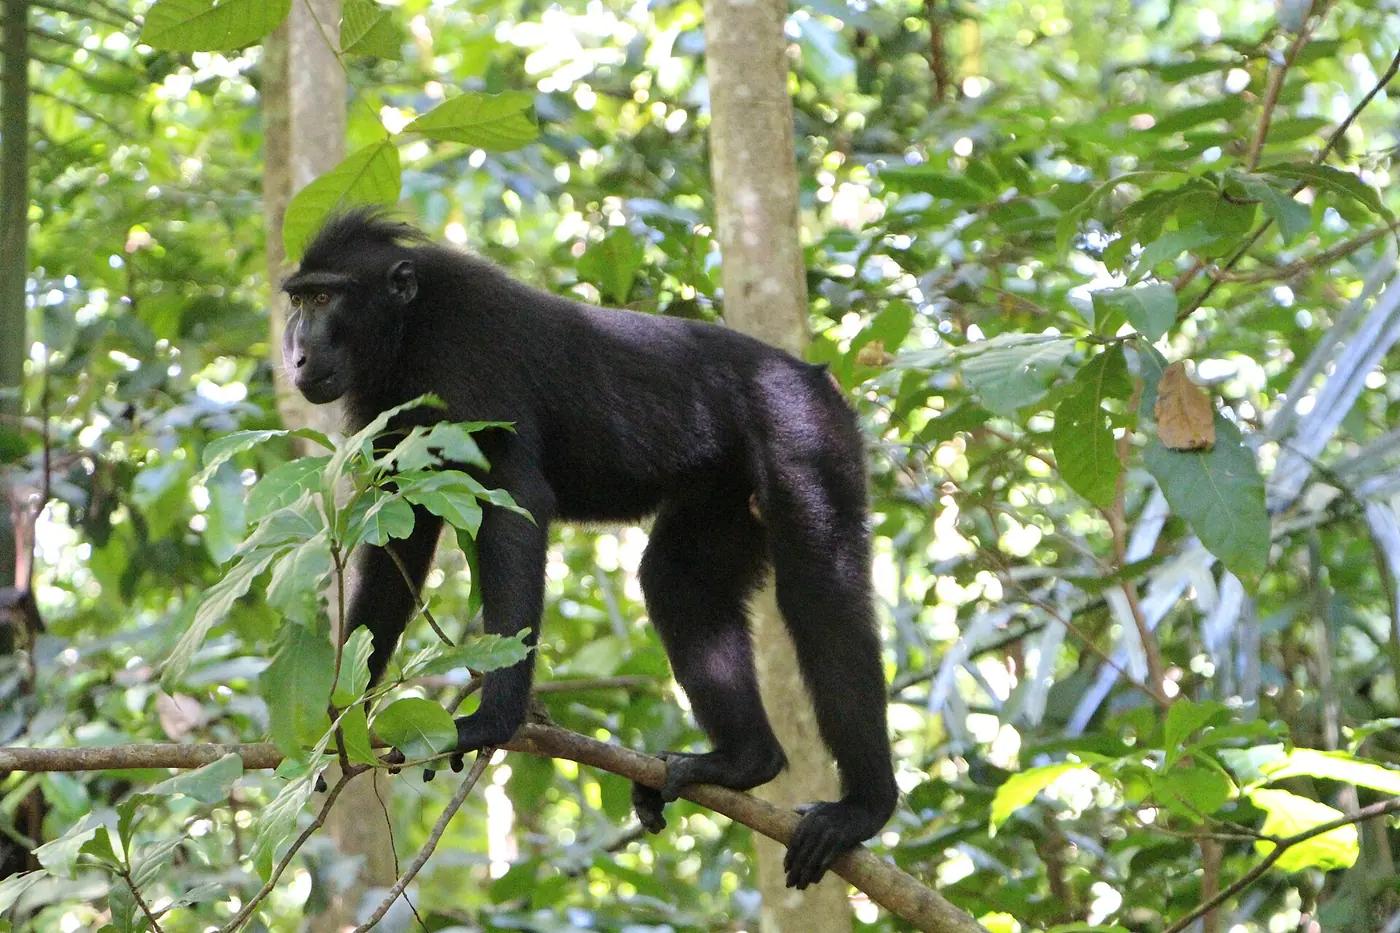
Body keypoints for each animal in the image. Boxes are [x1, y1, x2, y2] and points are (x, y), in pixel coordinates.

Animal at [280, 208, 896, 888]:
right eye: (300, 299)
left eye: (325, 298)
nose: (297, 353)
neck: (411, 328)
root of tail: (817, 381)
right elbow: (403, 543)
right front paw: (340, 728)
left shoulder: (470, 363)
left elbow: (516, 504)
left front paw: (494, 722)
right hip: (725, 493)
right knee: (676, 580)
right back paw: (741, 763)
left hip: (809, 439)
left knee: (821, 593)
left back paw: (864, 809)